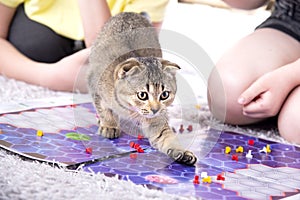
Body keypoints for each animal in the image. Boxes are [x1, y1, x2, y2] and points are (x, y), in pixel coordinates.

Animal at [86, 12, 197, 166]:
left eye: (164, 95)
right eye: (142, 95)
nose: (155, 109)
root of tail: (130, 13)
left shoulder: (157, 120)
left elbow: (167, 137)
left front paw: (182, 152)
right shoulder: (95, 86)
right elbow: (104, 110)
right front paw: (109, 126)